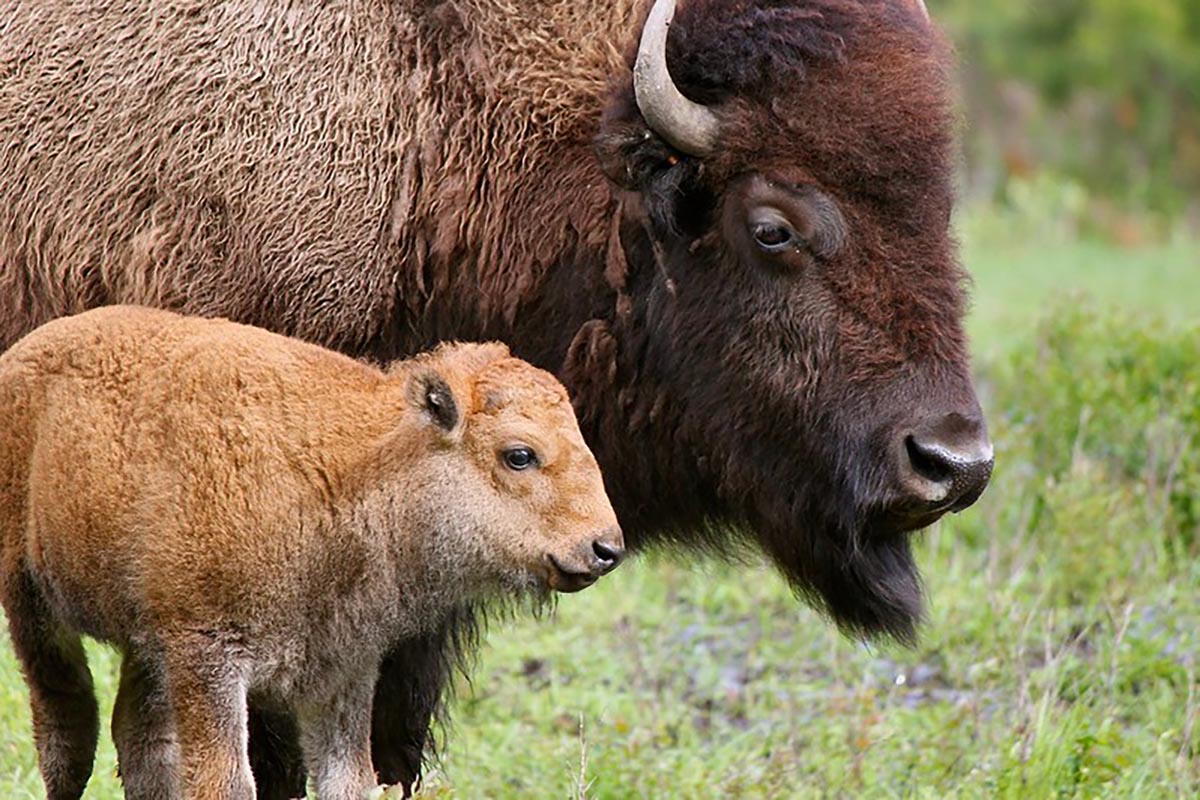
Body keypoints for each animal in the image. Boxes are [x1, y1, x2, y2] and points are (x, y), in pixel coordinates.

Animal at [0, 303, 619, 796]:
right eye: (520, 454)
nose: (605, 548)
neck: (352, 467)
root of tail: (21, 357)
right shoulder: (207, 659)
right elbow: (225, 782)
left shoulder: (344, 672)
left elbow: (348, 781)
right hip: (33, 608)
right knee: (67, 728)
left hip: (146, 642)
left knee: (137, 737)